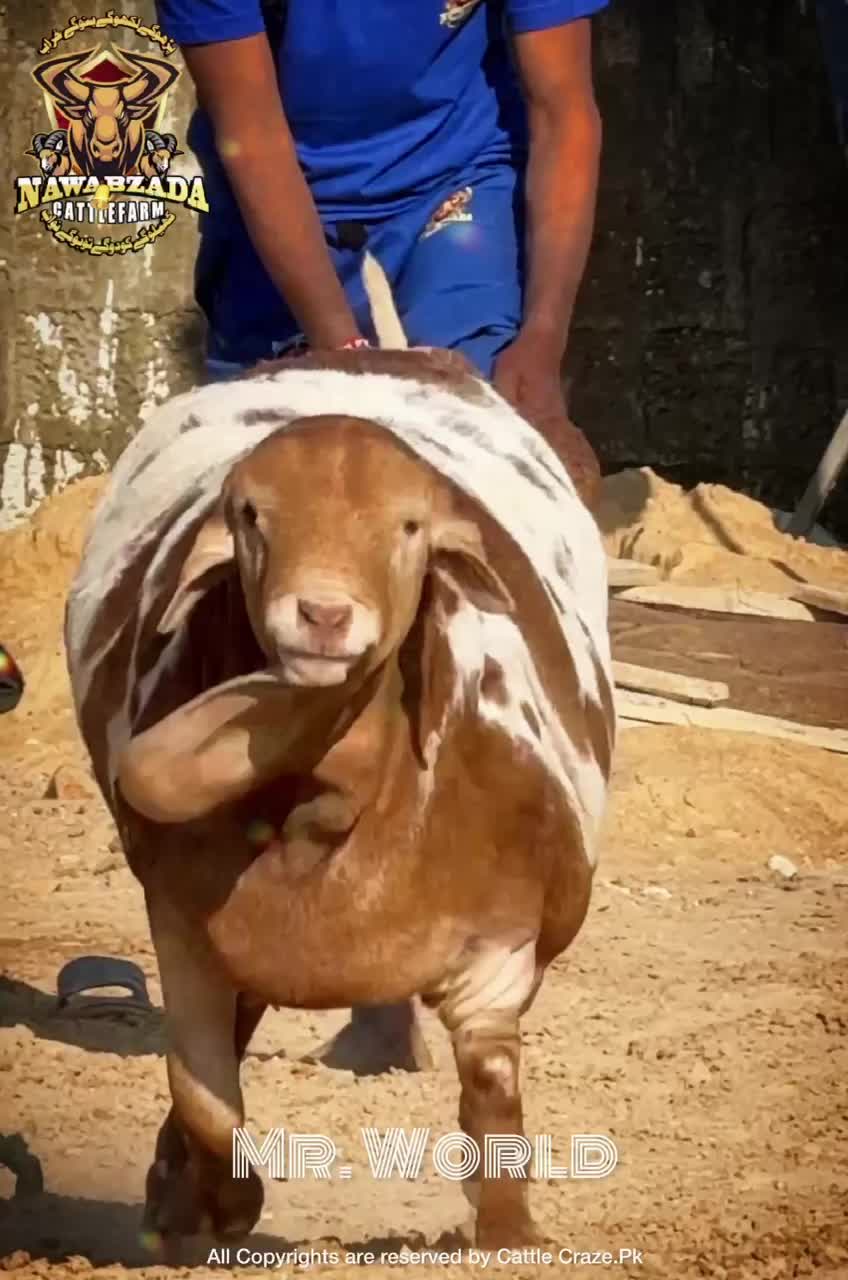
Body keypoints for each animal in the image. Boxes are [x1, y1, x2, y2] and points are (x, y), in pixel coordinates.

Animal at [64, 258, 615, 1253]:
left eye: (409, 526)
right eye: (250, 516)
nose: (322, 615)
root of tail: (381, 352)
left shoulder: (499, 949)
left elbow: (493, 1098)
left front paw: (511, 1234)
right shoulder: (186, 928)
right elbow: (206, 1097)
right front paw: (218, 1206)